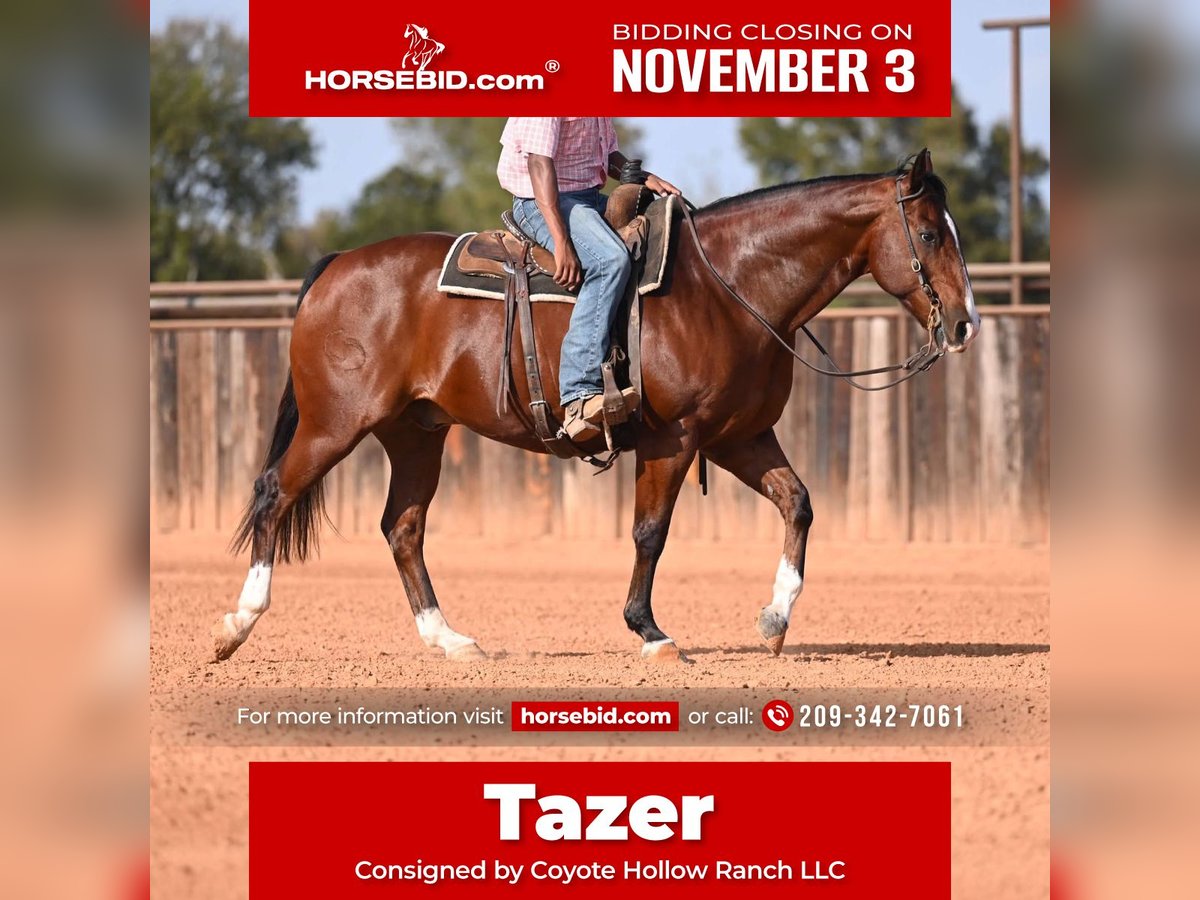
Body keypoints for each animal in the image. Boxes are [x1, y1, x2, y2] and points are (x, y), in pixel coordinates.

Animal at [214, 149, 979, 665]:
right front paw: (652, 632)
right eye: (931, 234)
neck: (728, 285)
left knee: (402, 527)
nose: (965, 323)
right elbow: (650, 533)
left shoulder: (740, 436)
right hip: (335, 424)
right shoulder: (675, 439)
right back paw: (237, 624)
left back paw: (450, 639)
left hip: (416, 433)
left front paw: (774, 619)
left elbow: (799, 503)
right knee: (274, 492)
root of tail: (336, 267)